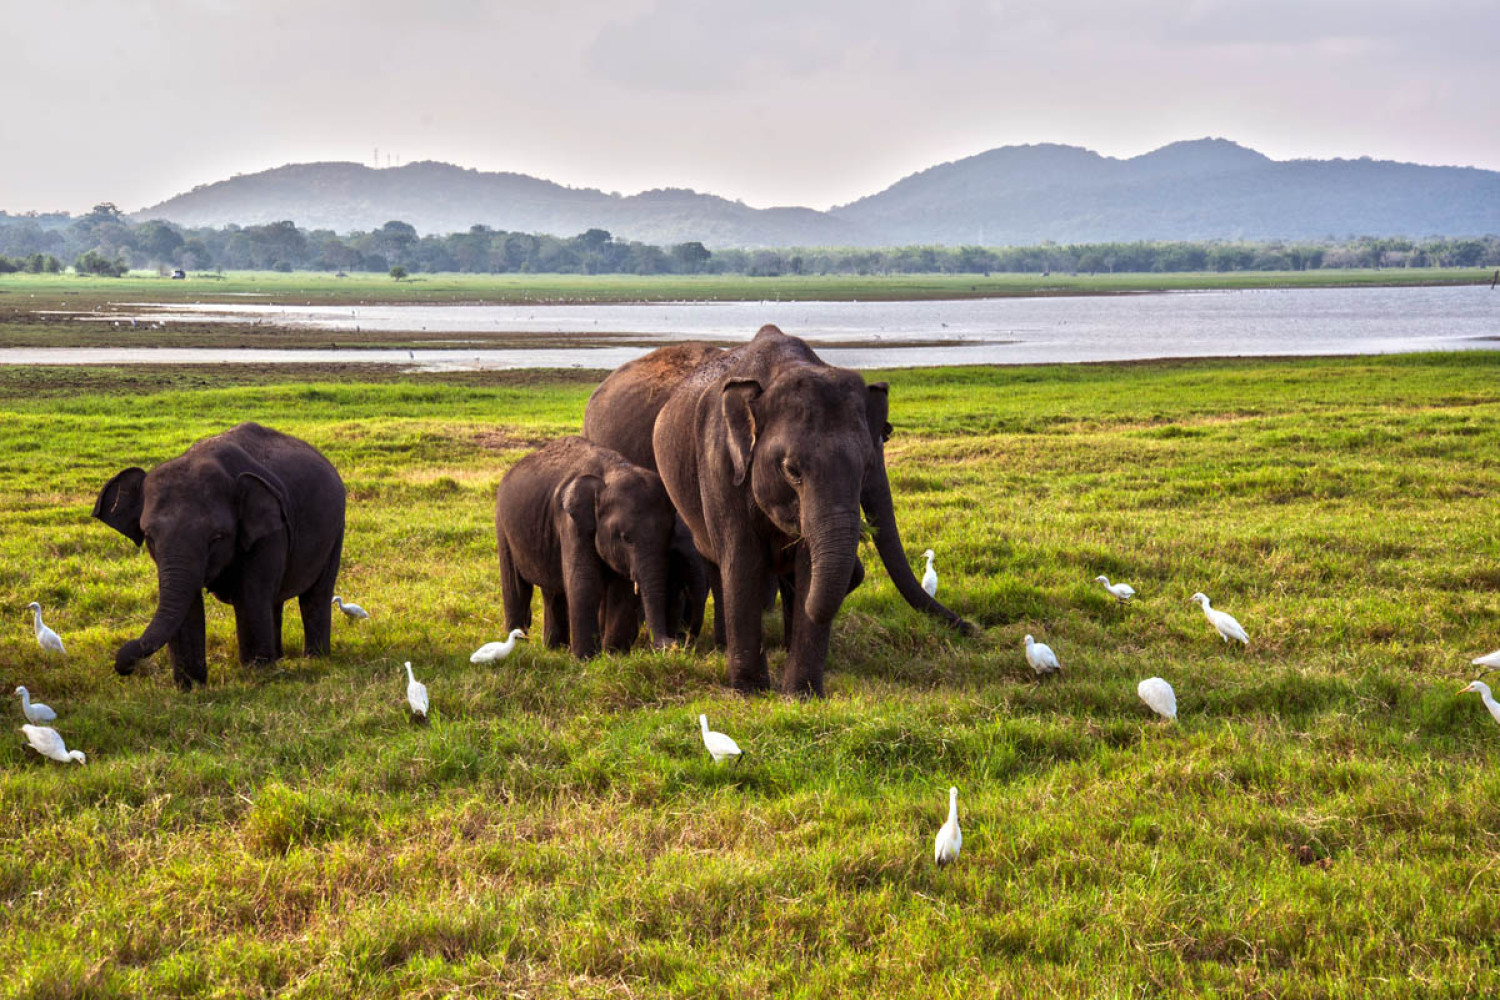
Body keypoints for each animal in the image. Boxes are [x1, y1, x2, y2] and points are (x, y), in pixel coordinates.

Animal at [93, 419, 348, 689]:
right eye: (149, 536)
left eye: (216, 537)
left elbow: (250, 595)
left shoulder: (269, 533)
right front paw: (190, 687)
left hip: (336, 530)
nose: (124, 667)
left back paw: (315, 659)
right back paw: (279, 658)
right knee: (275, 600)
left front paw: (257, 675)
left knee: (315, 595)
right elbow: (188, 606)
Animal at [495, 434, 678, 656]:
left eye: (670, 536)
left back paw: (554, 648)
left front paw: (614, 654)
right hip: (502, 524)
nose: (674, 643)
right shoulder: (571, 522)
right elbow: (585, 582)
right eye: (626, 538)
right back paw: (519, 645)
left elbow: (622, 591)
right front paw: (586, 658)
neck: (613, 471)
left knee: (552, 591)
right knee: (515, 585)